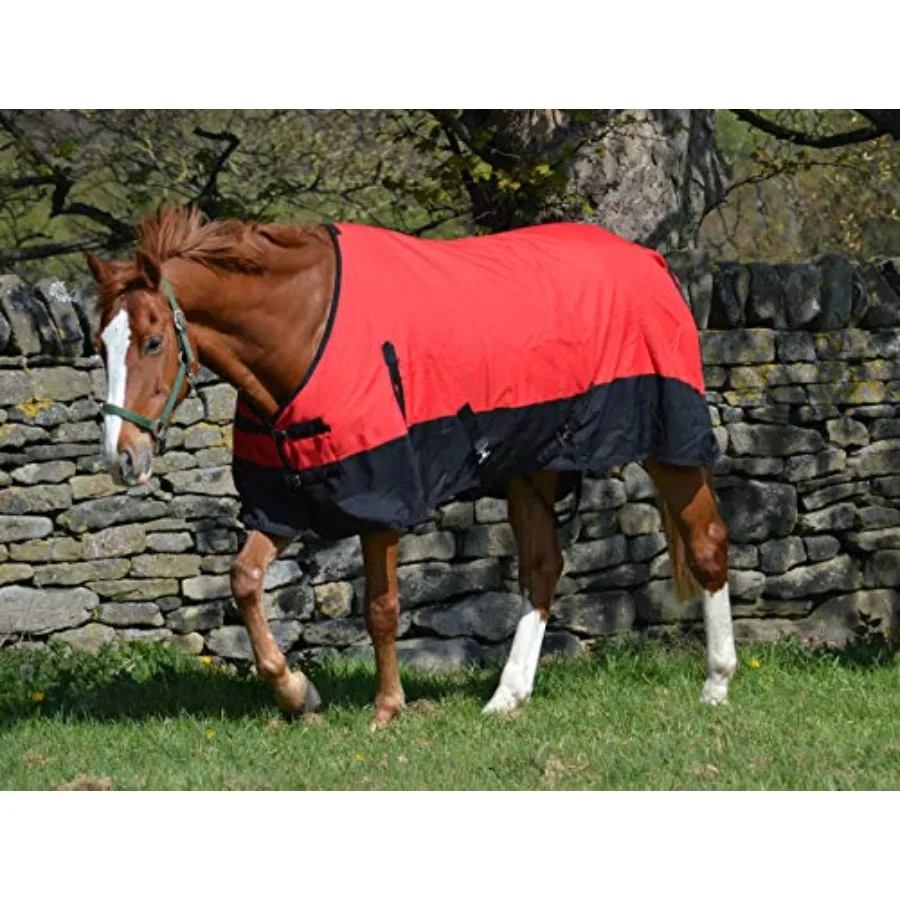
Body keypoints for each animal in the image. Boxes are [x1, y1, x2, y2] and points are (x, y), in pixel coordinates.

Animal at [86, 205, 737, 726]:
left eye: (152, 342)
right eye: (99, 346)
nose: (122, 458)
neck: (305, 329)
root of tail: (650, 262)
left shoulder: (382, 498)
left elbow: (381, 608)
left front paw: (386, 708)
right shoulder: (286, 500)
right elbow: (244, 581)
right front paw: (298, 694)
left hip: (667, 440)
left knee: (706, 541)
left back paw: (717, 683)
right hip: (533, 464)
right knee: (543, 569)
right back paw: (507, 697)